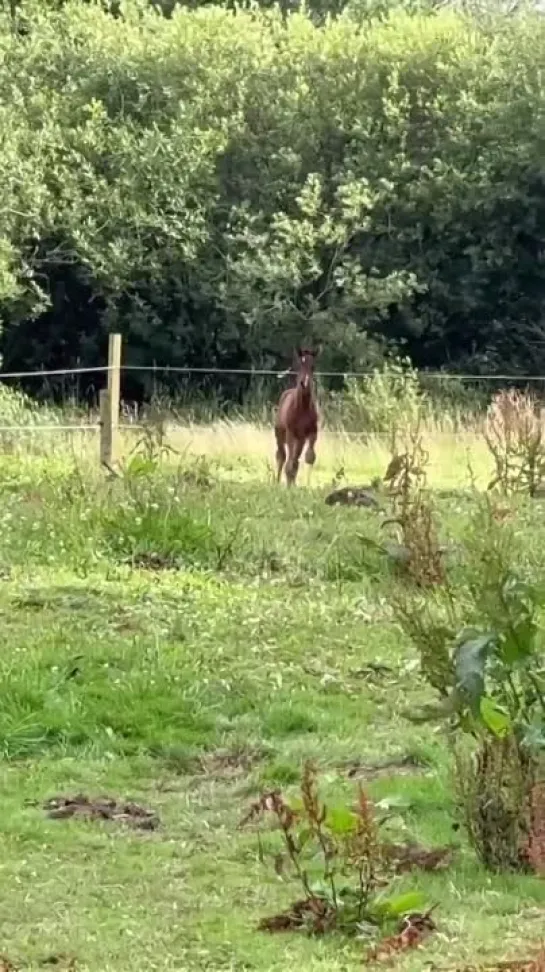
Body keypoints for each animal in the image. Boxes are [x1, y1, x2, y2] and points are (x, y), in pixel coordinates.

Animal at [272, 348, 318, 486]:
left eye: (313, 366)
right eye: (299, 365)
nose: (305, 384)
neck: (302, 408)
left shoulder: (312, 432)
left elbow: (309, 457)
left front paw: (305, 484)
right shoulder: (291, 433)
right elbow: (289, 461)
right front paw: (289, 485)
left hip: (300, 439)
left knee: (294, 459)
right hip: (280, 434)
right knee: (282, 456)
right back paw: (277, 481)